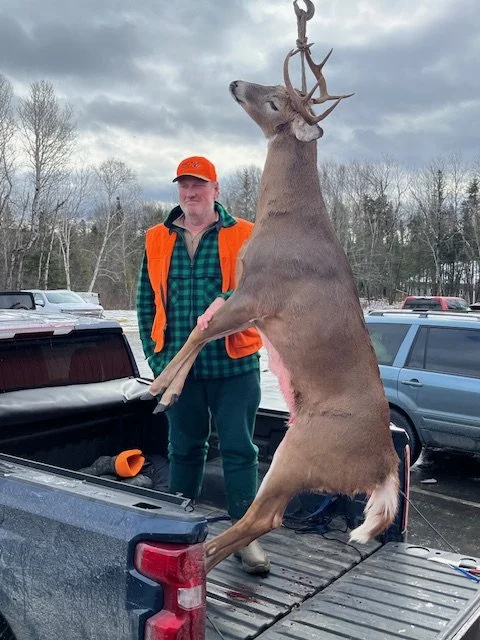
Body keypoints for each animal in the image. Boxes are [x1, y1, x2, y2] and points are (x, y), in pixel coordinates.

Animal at [142, 41, 400, 574]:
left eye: (278, 101)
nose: (236, 82)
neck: (286, 218)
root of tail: (387, 468)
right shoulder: (244, 297)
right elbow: (205, 328)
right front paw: (168, 390)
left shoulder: (260, 293)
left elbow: (201, 331)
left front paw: (159, 391)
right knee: (264, 519)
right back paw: (209, 564)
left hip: (299, 451)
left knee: (262, 517)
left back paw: (201, 565)